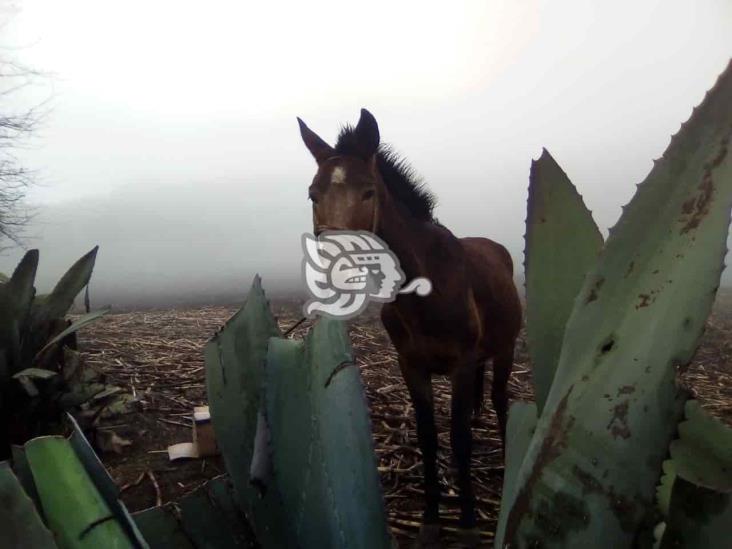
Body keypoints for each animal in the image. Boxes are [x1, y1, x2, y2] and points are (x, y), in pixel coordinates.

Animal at [298, 108, 520, 544]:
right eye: (314, 194)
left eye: (368, 192)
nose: (336, 267)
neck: (426, 286)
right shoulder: (411, 367)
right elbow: (428, 437)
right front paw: (431, 519)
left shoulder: (461, 366)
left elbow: (460, 440)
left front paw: (468, 522)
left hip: (506, 351)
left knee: (502, 402)